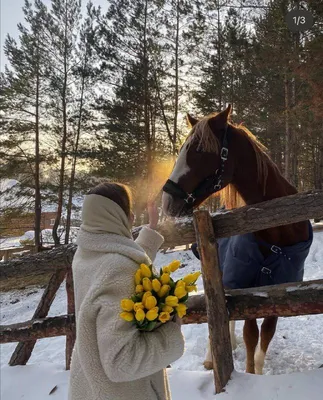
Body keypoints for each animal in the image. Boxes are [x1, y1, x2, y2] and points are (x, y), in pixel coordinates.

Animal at [163, 105, 312, 376]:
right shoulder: (248, 287)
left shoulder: (279, 289)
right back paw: (212, 357)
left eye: (199, 150)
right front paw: (250, 374)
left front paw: (258, 373)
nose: (167, 201)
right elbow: (250, 336)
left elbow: (265, 335)